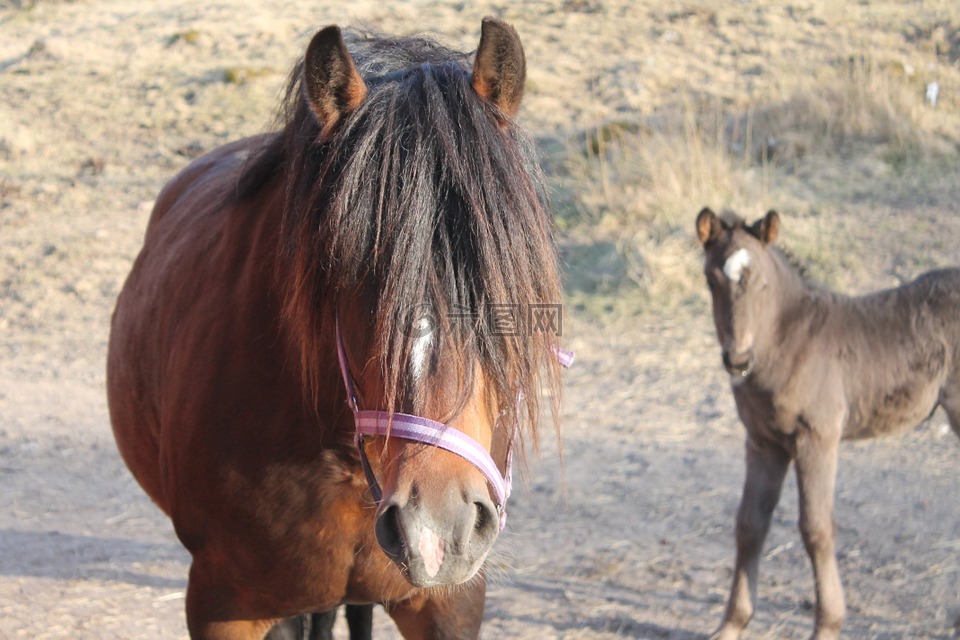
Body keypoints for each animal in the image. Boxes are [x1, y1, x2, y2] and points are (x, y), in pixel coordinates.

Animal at [696, 209, 960, 640]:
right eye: (710, 280)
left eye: (763, 283)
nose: (737, 359)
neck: (787, 344)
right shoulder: (763, 442)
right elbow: (749, 524)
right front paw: (731, 624)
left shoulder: (817, 438)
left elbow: (816, 529)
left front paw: (828, 625)